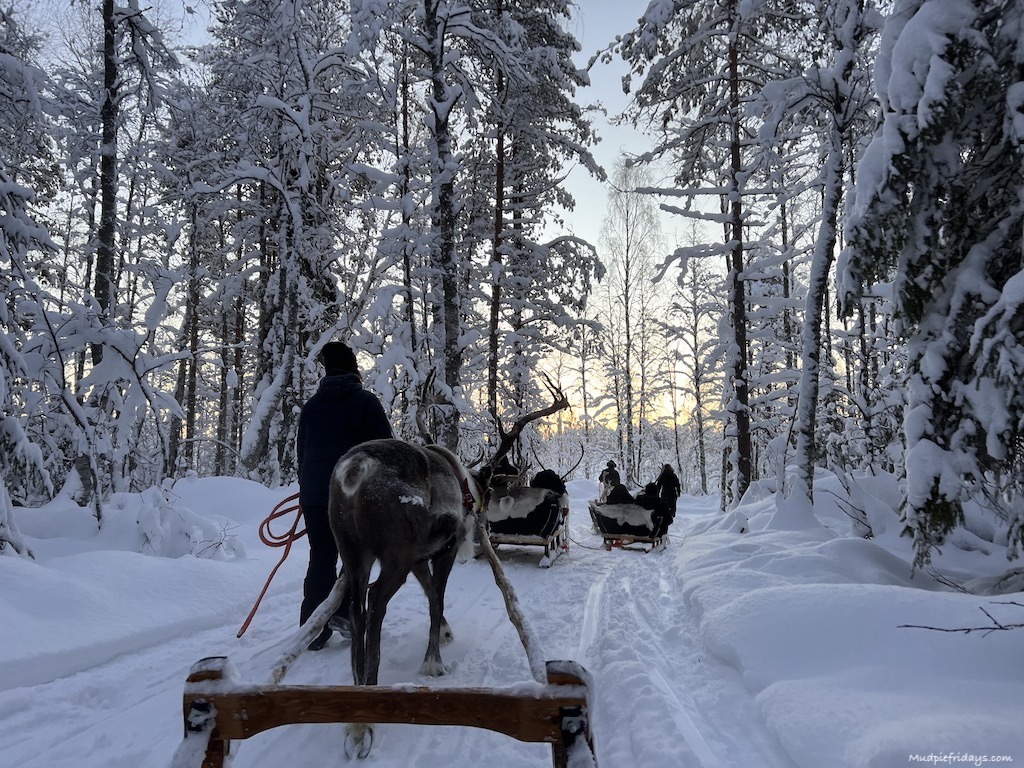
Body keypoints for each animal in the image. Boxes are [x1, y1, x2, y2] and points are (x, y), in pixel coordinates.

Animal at [327, 373, 569, 758]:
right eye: (491, 484)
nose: (483, 516)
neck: (466, 483)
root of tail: (355, 470)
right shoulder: (444, 547)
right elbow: (437, 598)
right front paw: (434, 662)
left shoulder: (420, 557)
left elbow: (429, 594)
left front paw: (445, 631)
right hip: (395, 553)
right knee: (376, 602)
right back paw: (365, 716)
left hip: (352, 553)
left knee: (356, 607)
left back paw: (355, 693)